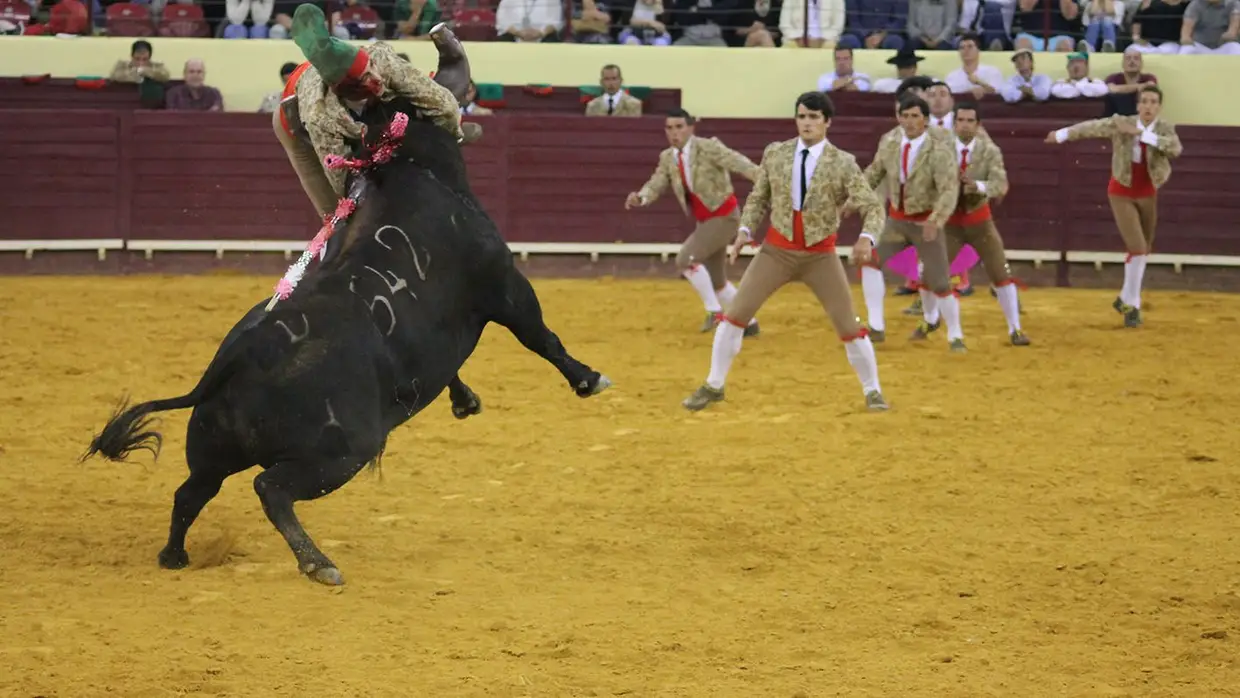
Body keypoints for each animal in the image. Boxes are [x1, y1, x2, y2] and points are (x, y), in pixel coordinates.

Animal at [79, 98, 612, 587]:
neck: (407, 171)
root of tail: (242, 355)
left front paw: (466, 401)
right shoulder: (507, 288)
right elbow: (542, 338)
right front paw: (589, 379)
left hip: (215, 449)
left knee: (190, 493)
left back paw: (175, 556)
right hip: (342, 452)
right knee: (269, 487)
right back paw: (318, 563)